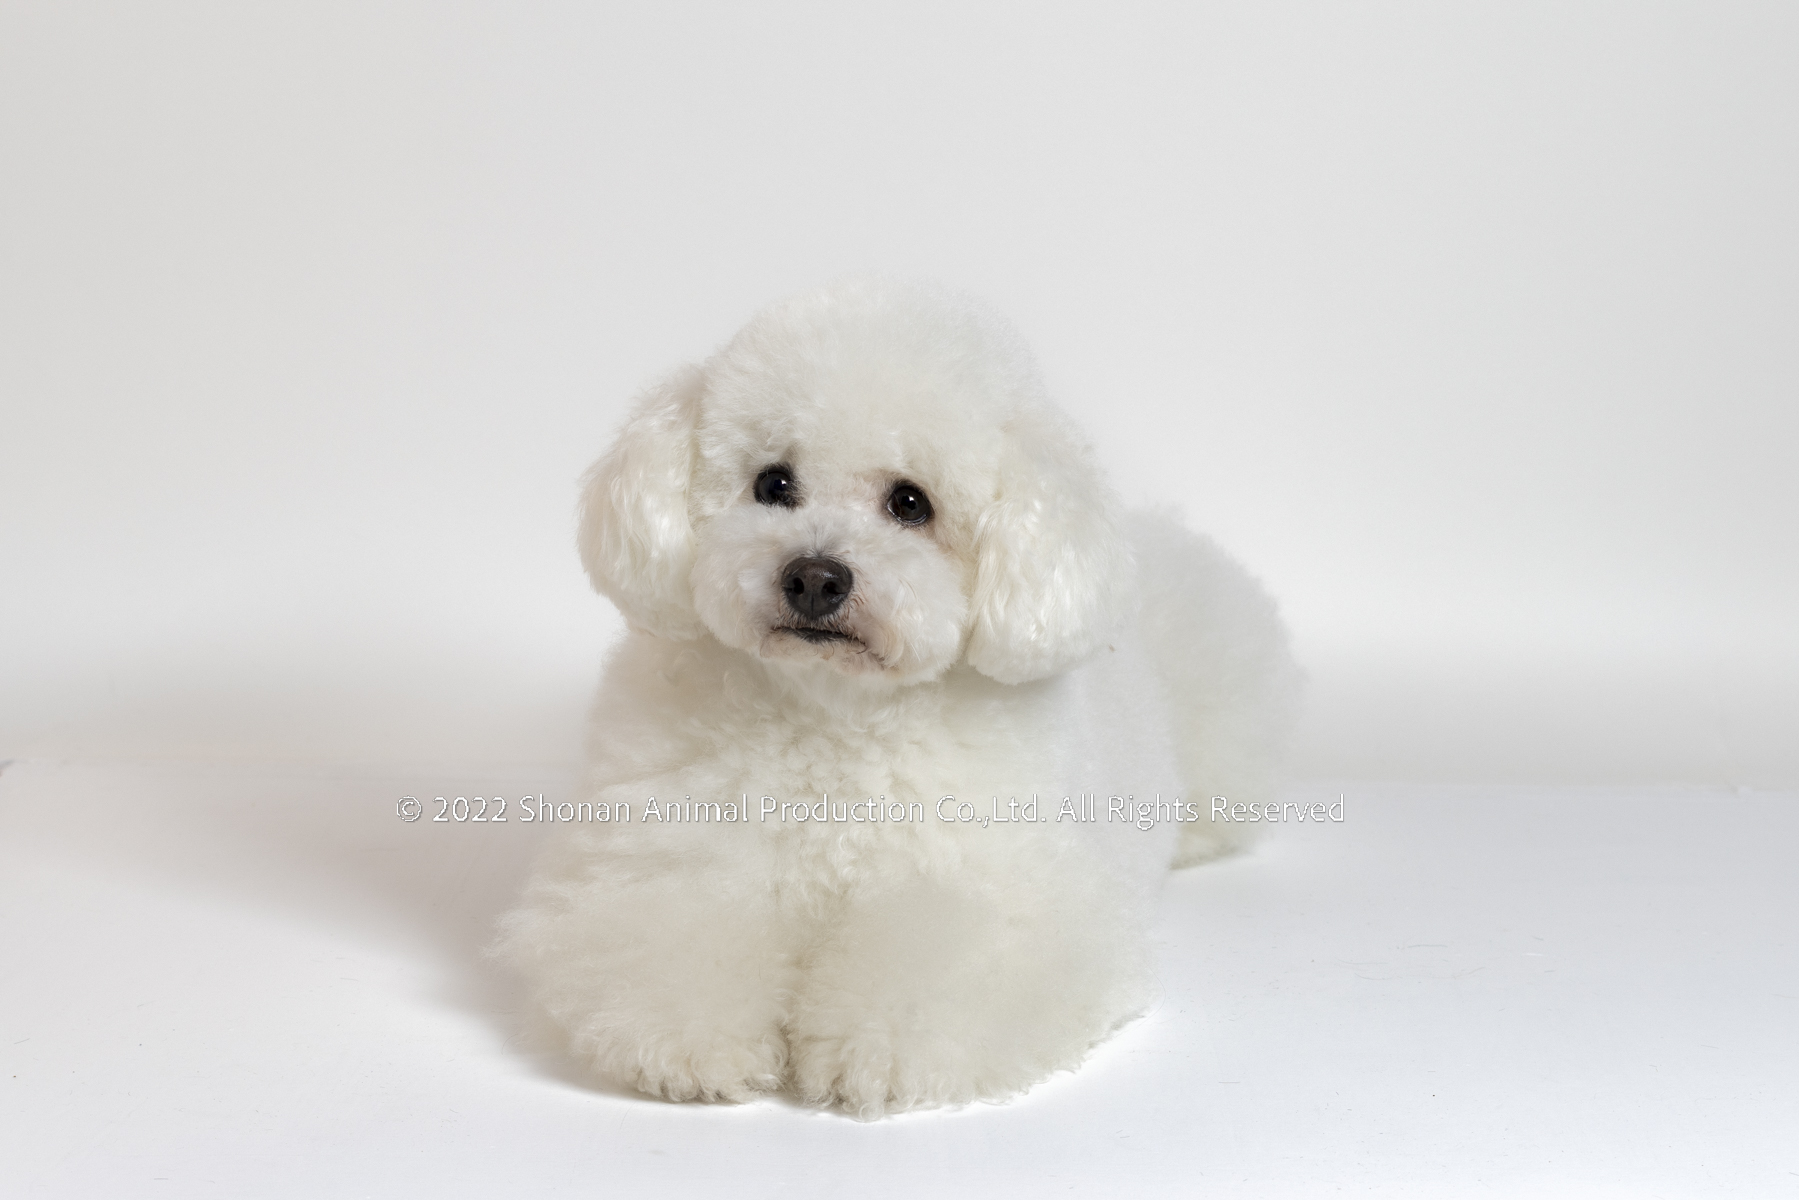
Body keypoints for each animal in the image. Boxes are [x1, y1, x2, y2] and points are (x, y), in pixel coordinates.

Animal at [499, 278, 1300, 1117]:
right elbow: (666, 928)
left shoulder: (1000, 891)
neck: (833, 718)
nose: (814, 577)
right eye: (773, 483)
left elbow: (935, 962)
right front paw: (692, 1041)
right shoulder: (662, 861)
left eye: (910, 503)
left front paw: (871, 1050)